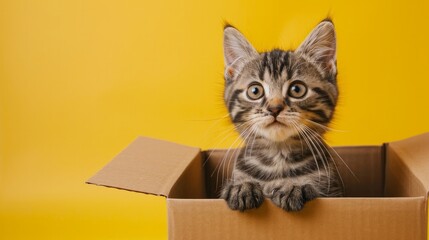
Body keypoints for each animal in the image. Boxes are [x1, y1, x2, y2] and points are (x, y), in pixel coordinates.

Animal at [219, 20, 342, 212]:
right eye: (255, 91)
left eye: (297, 89)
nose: (274, 108)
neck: (277, 158)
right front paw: (243, 187)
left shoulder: (332, 191)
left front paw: (293, 186)